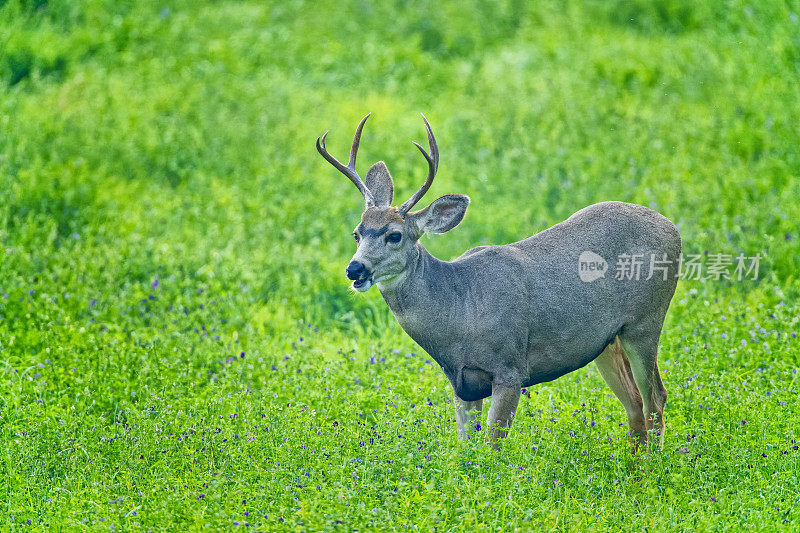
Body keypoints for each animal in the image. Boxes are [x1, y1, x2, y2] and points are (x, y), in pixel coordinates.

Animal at [316, 114, 680, 450]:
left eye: (394, 235)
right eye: (357, 232)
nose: (355, 270)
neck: (460, 309)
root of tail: (672, 227)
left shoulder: (510, 367)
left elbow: (493, 445)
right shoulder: (462, 383)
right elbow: (467, 446)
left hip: (646, 321)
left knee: (655, 397)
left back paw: (652, 465)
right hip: (606, 341)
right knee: (634, 403)